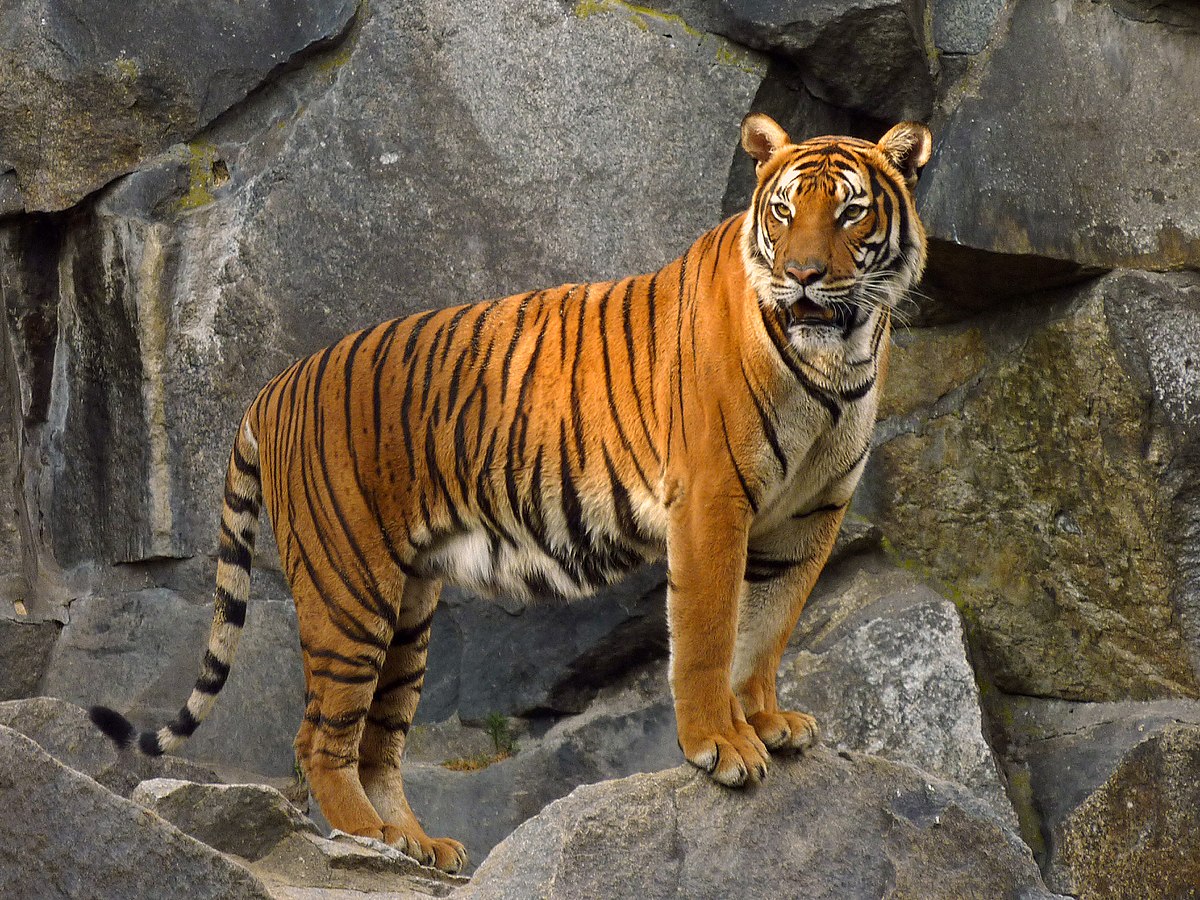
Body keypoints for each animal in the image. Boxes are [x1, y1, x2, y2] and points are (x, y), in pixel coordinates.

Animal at [90, 113, 931, 874]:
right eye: (784, 212)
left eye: (850, 212)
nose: (804, 275)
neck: (838, 356)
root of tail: (272, 387)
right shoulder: (711, 502)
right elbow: (707, 634)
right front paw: (719, 746)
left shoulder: (809, 515)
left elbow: (766, 629)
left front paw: (766, 721)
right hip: (347, 588)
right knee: (320, 738)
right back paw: (373, 838)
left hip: (408, 609)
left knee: (377, 744)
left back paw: (419, 844)